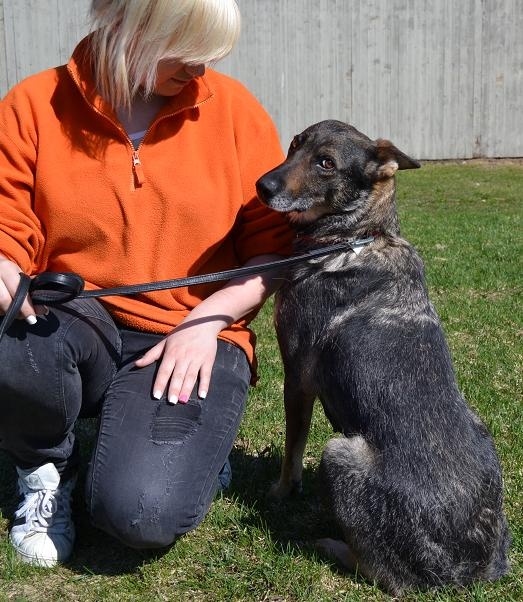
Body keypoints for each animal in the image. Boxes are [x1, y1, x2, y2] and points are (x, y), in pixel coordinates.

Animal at [255, 120, 510, 595]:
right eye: (295, 145)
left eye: (326, 163)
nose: (262, 186)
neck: (354, 239)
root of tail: (471, 571)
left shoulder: (296, 377)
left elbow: (292, 450)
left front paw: (281, 492)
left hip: (339, 451)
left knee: (385, 576)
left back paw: (331, 545)